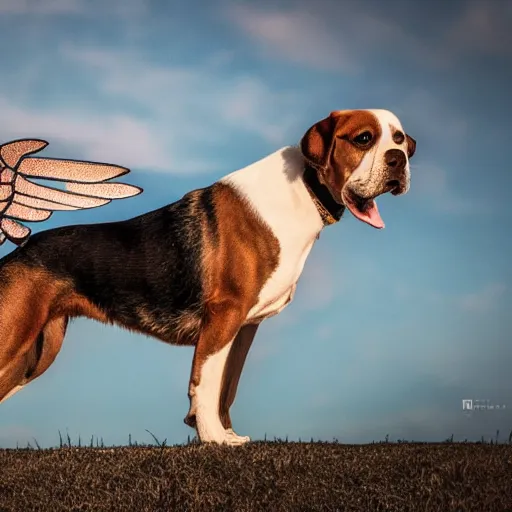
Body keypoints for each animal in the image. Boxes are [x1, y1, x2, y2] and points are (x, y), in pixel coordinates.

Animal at [0, 108, 416, 444]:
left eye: (400, 140)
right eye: (363, 139)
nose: (399, 160)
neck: (304, 188)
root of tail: (16, 253)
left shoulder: (242, 327)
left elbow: (225, 388)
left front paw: (222, 433)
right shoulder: (223, 315)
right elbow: (206, 383)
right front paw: (214, 440)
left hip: (37, 352)